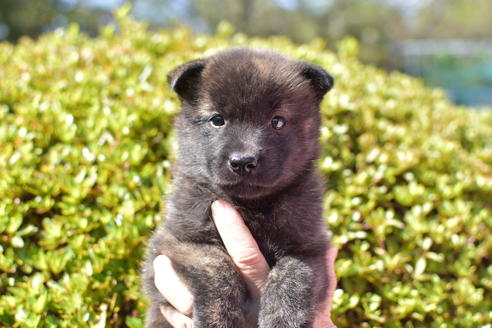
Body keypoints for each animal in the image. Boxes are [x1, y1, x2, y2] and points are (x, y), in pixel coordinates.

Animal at [142, 48, 334, 328]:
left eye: (277, 122)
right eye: (217, 120)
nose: (243, 162)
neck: (249, 206)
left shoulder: (310, 249)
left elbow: (293, 275)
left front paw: (282, 319)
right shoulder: (177, 243)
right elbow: (216, 267)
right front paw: (217, 319)